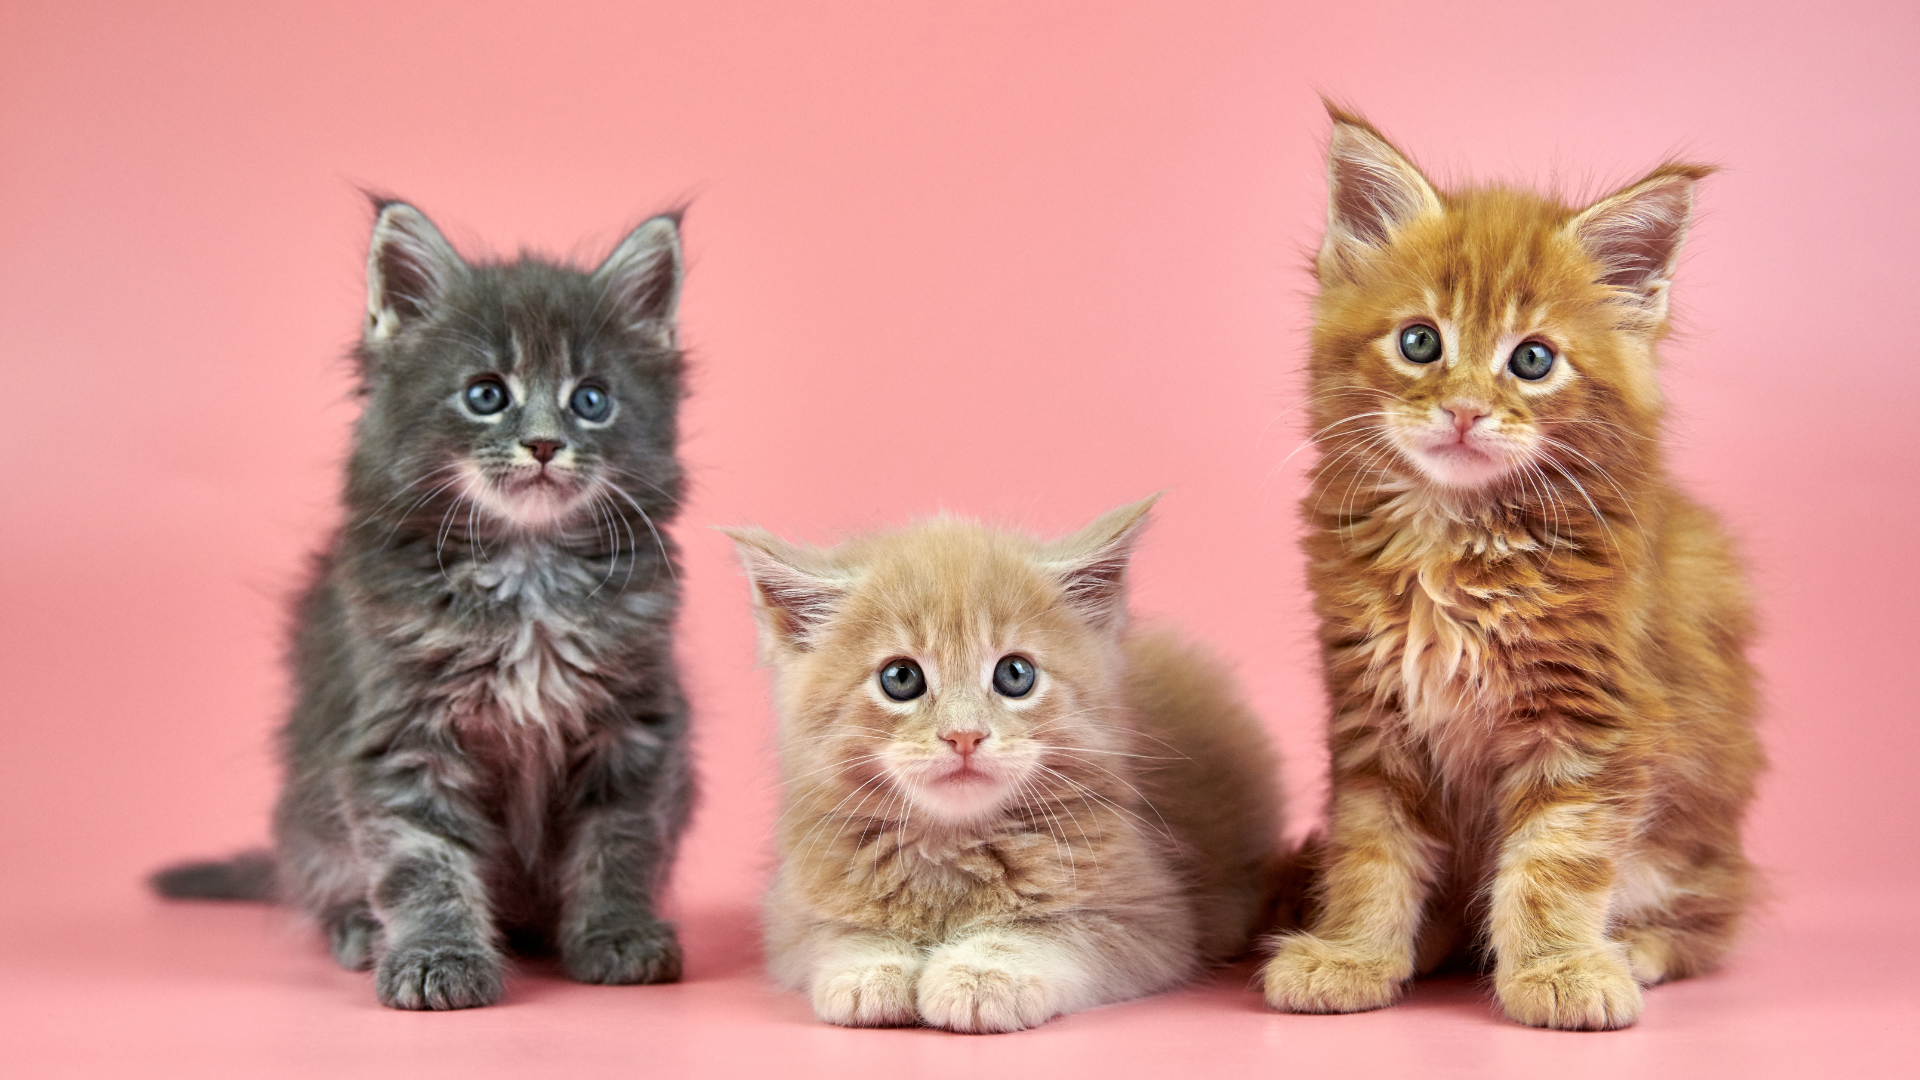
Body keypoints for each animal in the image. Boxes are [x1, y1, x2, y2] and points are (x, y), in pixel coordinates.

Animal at [151, 197, 691, 1006]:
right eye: (486, 395)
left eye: (591, 400)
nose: (543, 444)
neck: (528, 570)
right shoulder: (402, 737)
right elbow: (422, 862)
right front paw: (438, 957)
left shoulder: (631, 730)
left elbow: (618, 844)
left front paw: (617, 933)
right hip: (308, 815)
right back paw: (357, 929)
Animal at [725, 499, 1282, 1030]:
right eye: (900, 678)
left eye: (1015, 674)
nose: (964, 735)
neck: (953, 845)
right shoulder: (790, 917)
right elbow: (838, 933)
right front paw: (871, 969)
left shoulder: (1153, 920)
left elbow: (1056, 932)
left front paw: (984, 970)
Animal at [1259, 107, 1766, 1022]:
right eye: (1420, 342)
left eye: (1532, 360)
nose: (1464, 410)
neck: (1457, 537)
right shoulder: (1374, 716)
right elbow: (1371, 851)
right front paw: (1354, 953)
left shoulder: (1594, 718)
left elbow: (1554, 862)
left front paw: (1559, 969)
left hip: (1701, 835)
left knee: (1715, 913)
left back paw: (1639, 947)